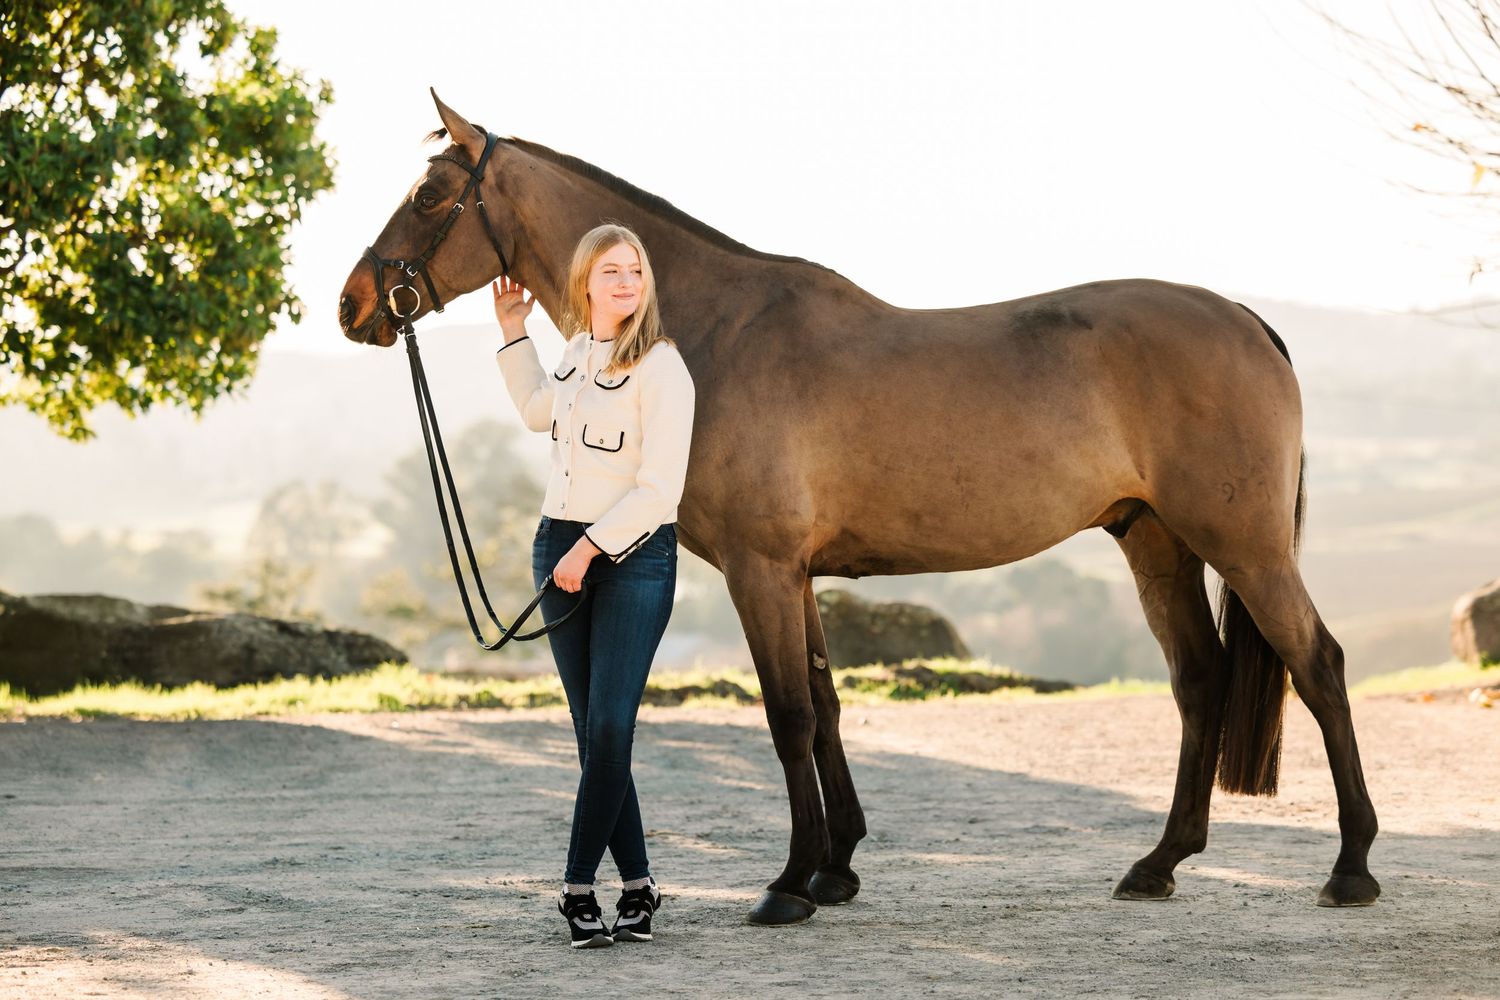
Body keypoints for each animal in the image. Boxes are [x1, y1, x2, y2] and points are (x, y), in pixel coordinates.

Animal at [338, 90, 1379, 925]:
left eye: (429, 197)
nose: (355, 304)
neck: (715, 332)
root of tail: (1247, 321)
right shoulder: (797, 574)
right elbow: (830, 706)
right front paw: (836, 869)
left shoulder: (761, 570)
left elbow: (789, 714)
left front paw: (789, 884)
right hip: (1157, 541)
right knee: (1200, 683)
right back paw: (1158, 864)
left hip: (1244, 547)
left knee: (1318, 667)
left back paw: (1352, 868)